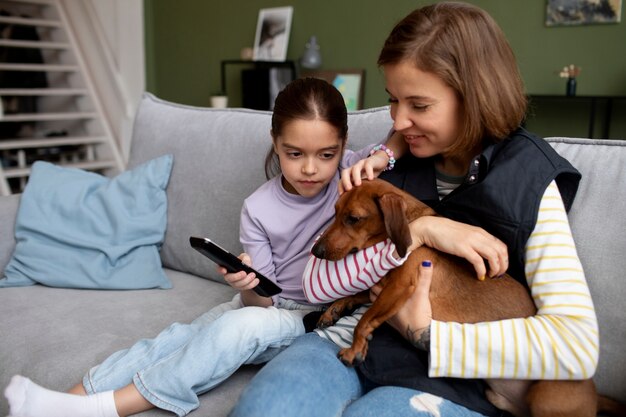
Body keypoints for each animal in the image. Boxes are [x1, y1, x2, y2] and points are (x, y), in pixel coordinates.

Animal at [312, 178, 624, 416]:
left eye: (353, 218)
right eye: (335, 211)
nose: (316, 250)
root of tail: (594, 394)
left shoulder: (399, 287)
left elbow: (365, 319)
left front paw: (355, 348)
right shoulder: (382, 284)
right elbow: (357, 293)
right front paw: (333, 309)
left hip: (545, 396)